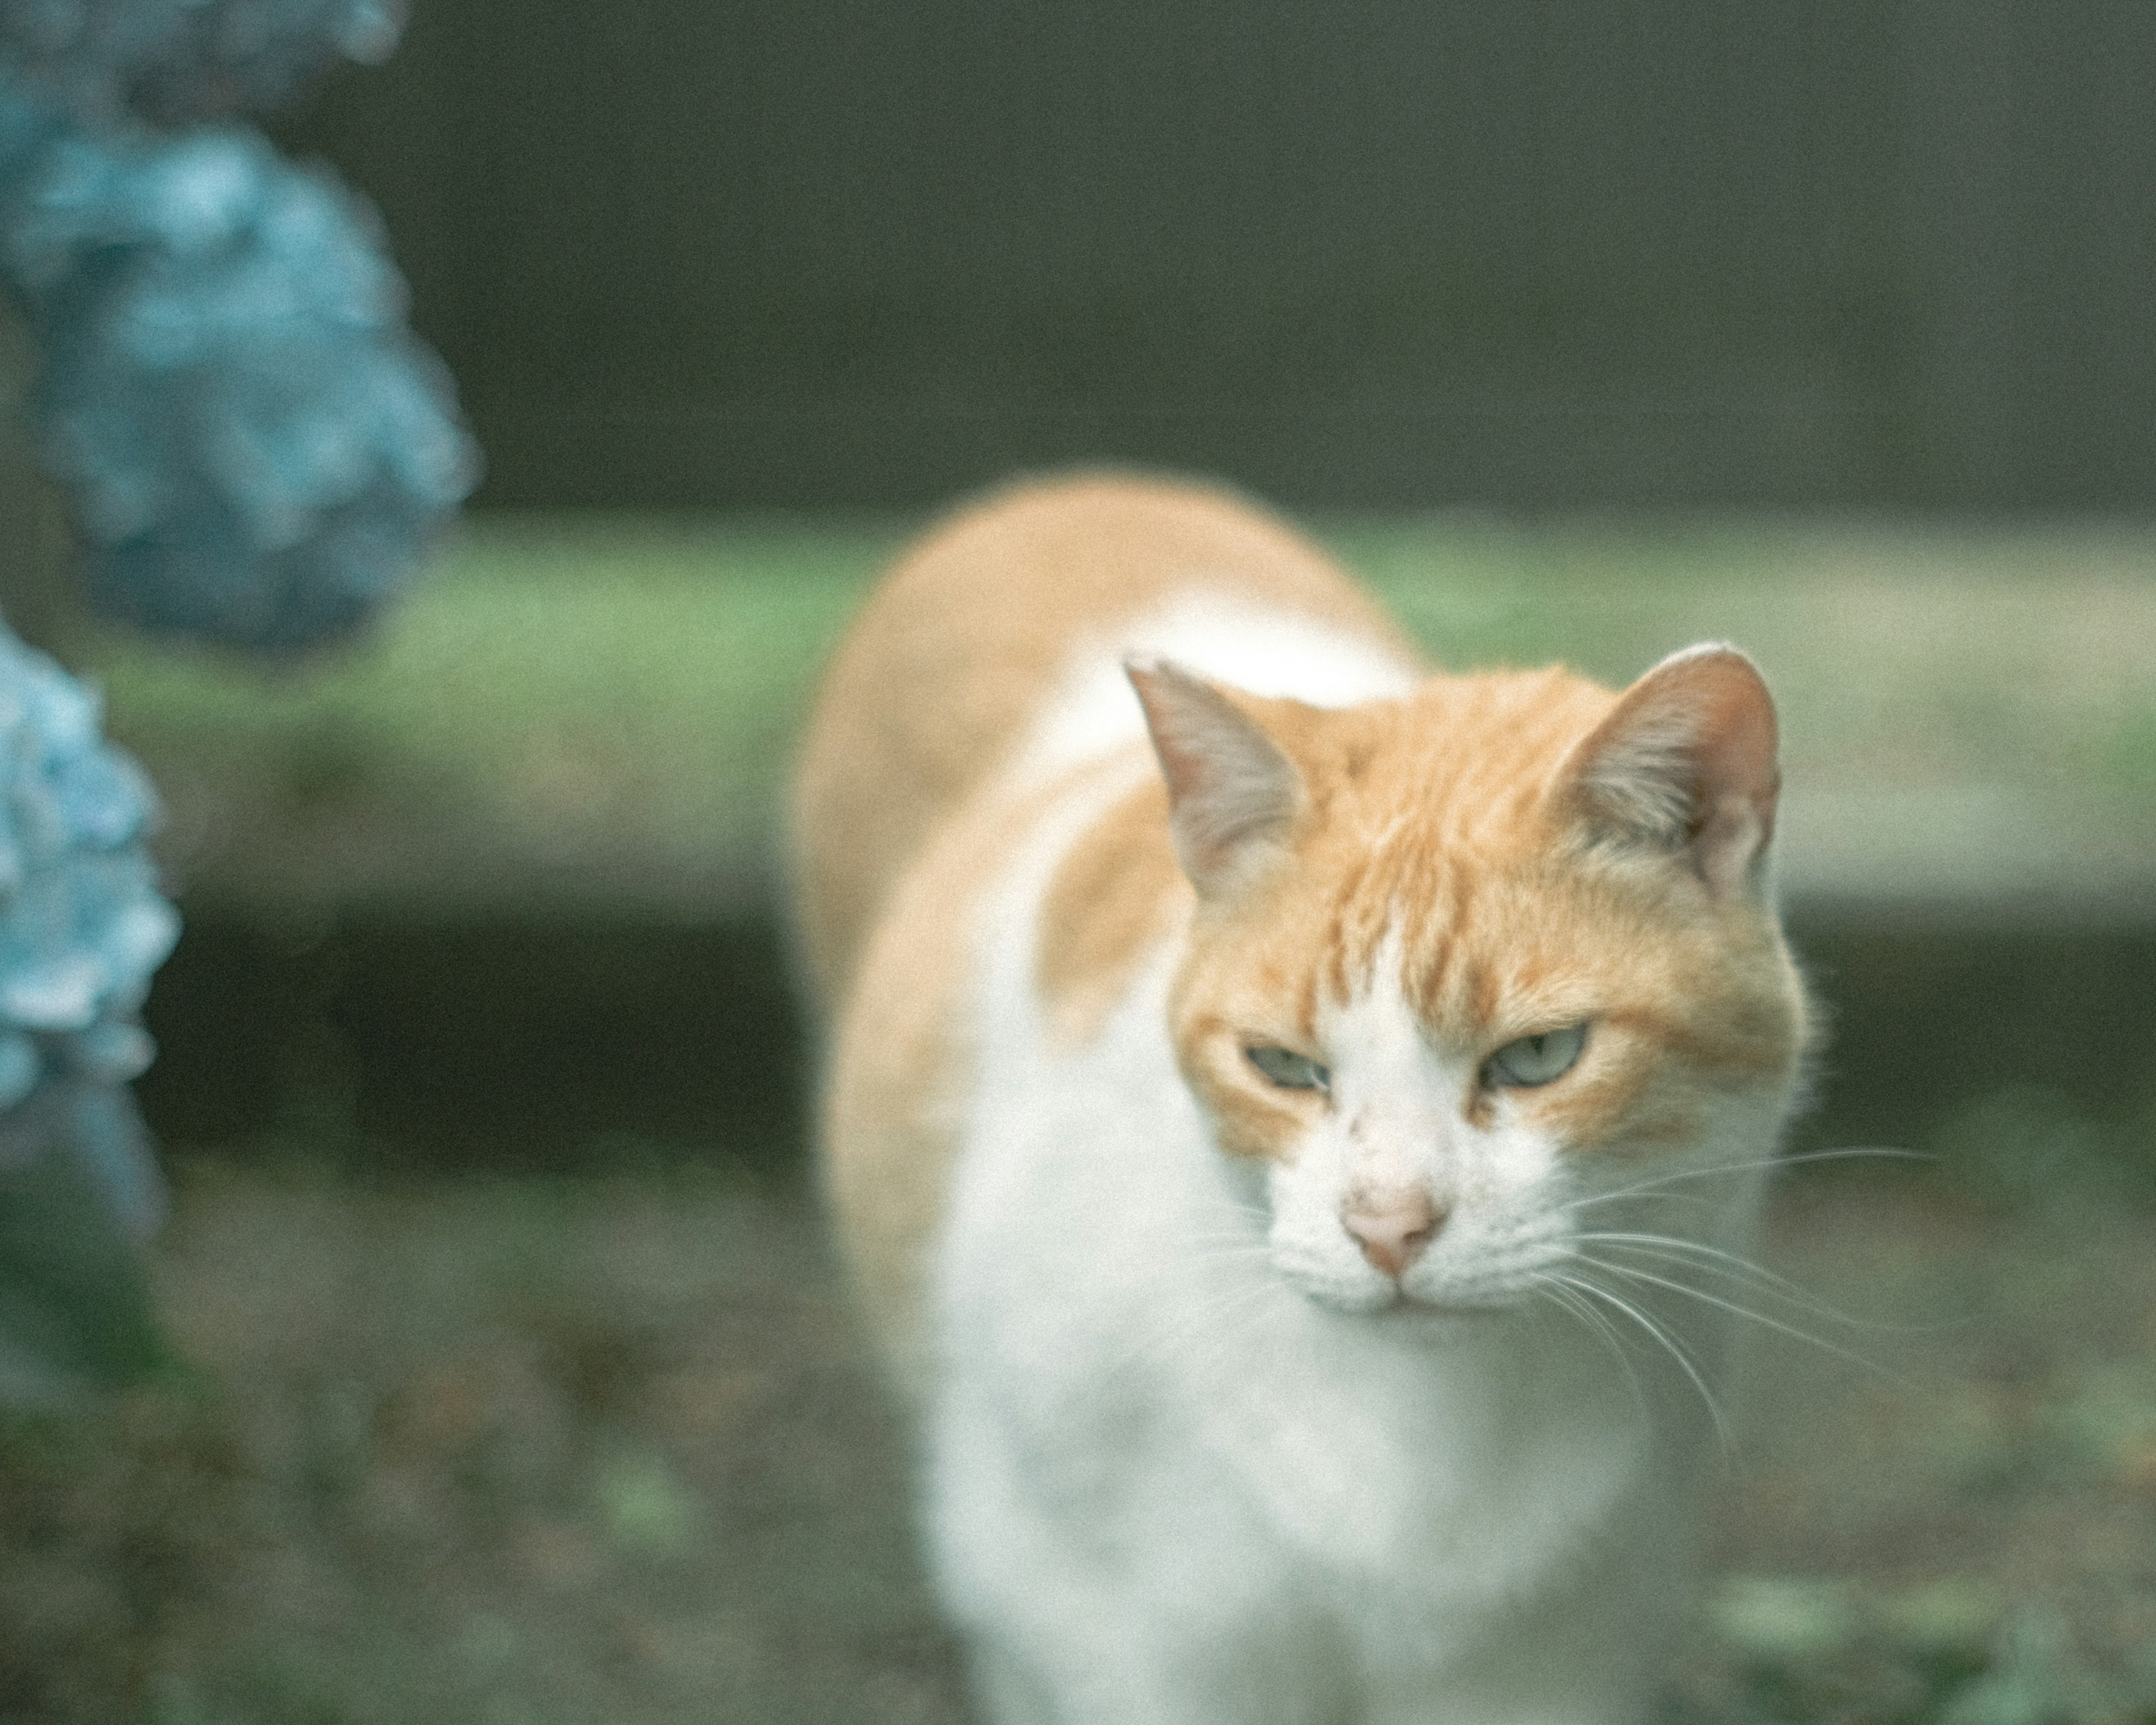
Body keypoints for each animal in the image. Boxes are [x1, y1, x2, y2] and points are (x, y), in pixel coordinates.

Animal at [789, 472, 1802, 1725]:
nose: (1387, 1226)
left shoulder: (1553, 1656)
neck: (1422, 1439)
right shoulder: (1108, 1647)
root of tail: (1068, 487)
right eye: (1282, 1068)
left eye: (1537, 1058)